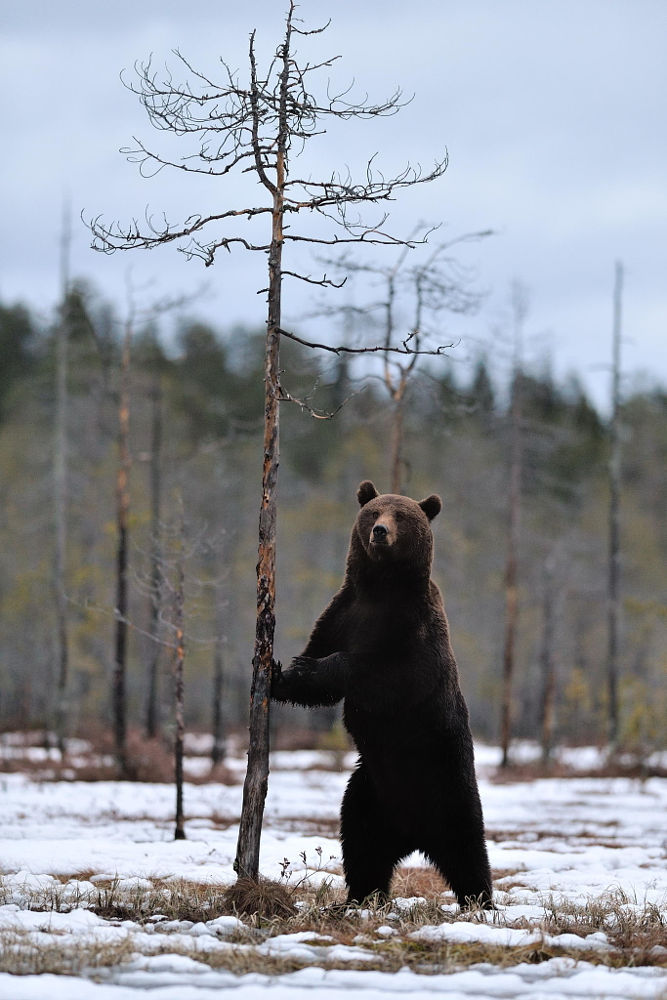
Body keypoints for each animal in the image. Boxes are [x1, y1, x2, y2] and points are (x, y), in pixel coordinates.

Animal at [272, 480, 496, 912]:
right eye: (374, 512)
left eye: (403, 516)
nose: (380, 531)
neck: (380, 588)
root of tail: (412, 834)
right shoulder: (342, 612)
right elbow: (317, 661)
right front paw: (278, 672)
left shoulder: (414, 631)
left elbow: (389, 676)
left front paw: (311, 667)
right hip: (369, 793)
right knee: (361, 847)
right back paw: (355, 899)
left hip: (448, 783)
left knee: (467, 849)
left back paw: (481, 903)